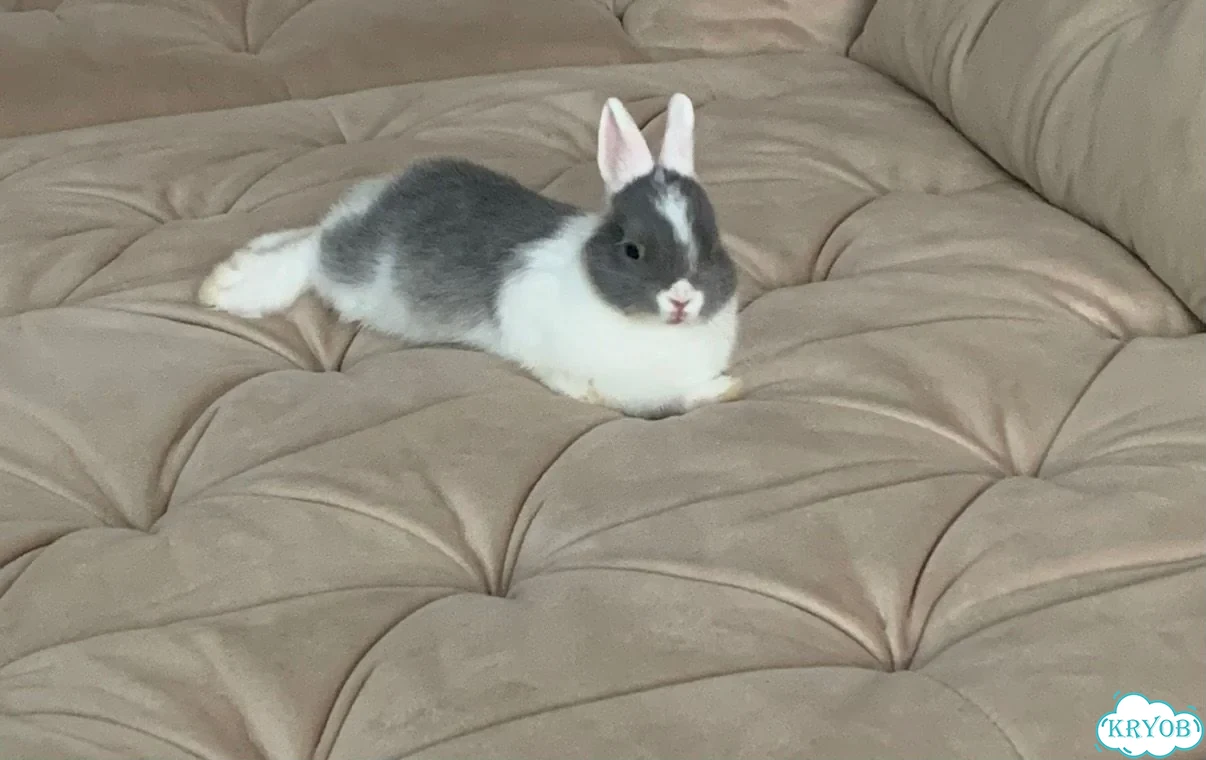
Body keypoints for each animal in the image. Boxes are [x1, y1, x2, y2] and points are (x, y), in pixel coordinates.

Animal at [198, 93, 742, 418]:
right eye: (632, 249)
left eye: (713, 242)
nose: (682, 300)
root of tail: (378, 194)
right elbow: (586, 385)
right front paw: (584, 393)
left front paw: (726, 389)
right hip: (355, 275)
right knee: (311, 253)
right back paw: (228, 286)